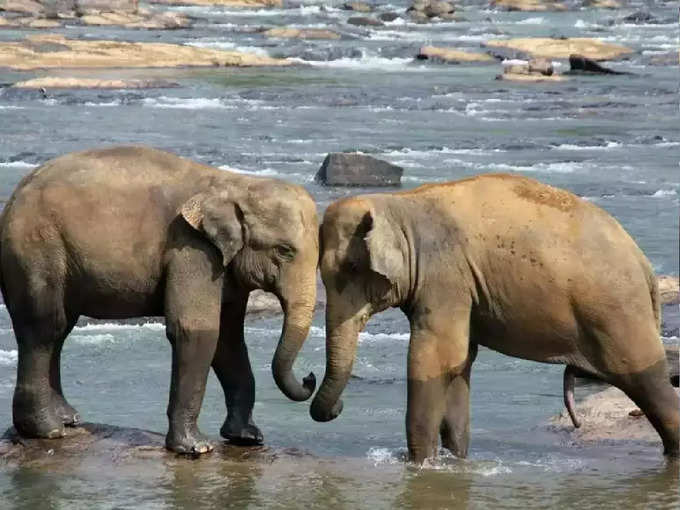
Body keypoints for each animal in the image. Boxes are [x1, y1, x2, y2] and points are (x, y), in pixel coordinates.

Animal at [0, 146, 318, 454]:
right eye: (284, 250)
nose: (310, 378)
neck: (236, 183)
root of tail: (14, 196)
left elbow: (229, 339)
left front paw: (247, 437)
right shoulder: (191, 249)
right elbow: (197, 330)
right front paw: (197, 448)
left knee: (61, 329)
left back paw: (68, 419)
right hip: (36, 248)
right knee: (45, 326)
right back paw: (48, 430)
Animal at [310, 172, 680, 462]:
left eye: (351, 267)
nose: (336, 406)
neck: (398, 204)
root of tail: (643, 263)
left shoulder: (445, 277)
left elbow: (434, 359)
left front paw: (419, 464)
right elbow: (460, 363)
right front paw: (455, 460)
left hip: (618, 312)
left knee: (649, 383)